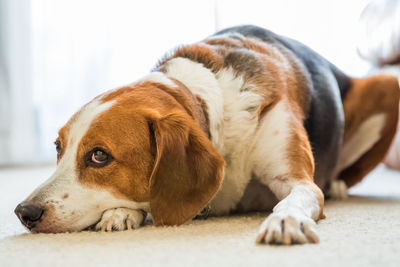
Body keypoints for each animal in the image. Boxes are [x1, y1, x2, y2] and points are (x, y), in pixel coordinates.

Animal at [14, 25, 398, 245]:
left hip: (387, 82)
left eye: (99, 155)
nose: (23, 212)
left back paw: (337, 186)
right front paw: (120, 213)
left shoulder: (297, 180)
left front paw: (284, 219)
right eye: (58, 148)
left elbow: (296, 198)